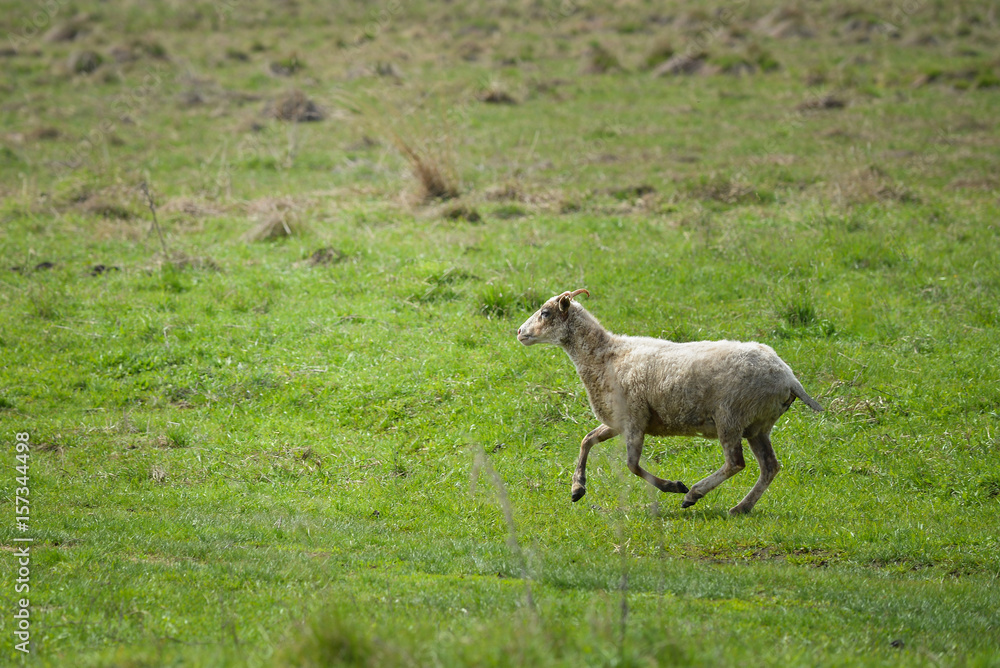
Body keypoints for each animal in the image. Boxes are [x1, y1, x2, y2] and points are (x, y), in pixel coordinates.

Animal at [516, 289, 822, 515]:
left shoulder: (635, 418)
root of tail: (789, 378)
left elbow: (632, 465)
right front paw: (577, 488)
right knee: (769, 466)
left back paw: (694, 493)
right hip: (758, 425)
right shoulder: (619, 420)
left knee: (736, 463)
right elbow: (587, 440)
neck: (605, 356)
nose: (519, 332)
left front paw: (672, 486)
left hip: (731, 416)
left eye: (545, 312)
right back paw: (741, 507)